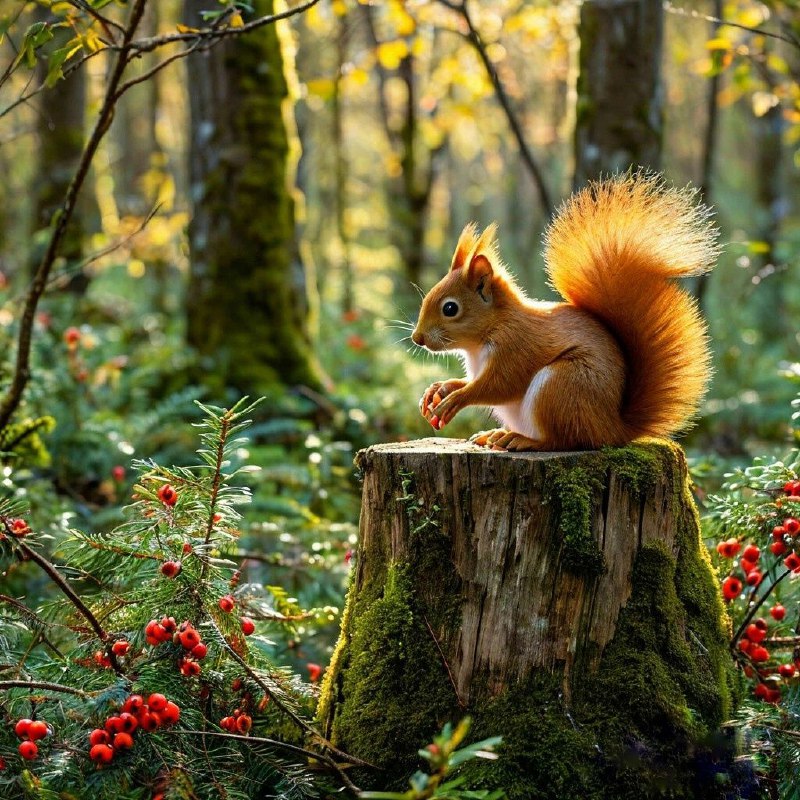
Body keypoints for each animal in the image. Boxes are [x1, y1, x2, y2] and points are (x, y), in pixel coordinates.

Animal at [412, 173, 720, 450]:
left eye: (450, 308)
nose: (417, 338)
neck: (486, 334)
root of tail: (612, 430)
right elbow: (468, 381)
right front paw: (440, 389)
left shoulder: (516, 347)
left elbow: (498, 385)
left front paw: (456, 399)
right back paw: (496, 434)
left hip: (562, 386)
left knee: (563, 440)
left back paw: (523, 441)